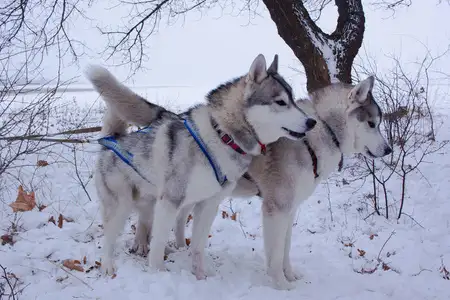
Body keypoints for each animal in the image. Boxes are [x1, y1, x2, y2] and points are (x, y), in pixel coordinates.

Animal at [85, 53, 316, 278]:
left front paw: (200, 276)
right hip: (120, 206)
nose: (311, 122)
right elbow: (158, 245)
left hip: (149, 201)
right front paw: (157, 273)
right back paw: (107, 266)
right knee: (109, 238)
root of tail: (110, 141)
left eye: (293, 100)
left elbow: (197, 245)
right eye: (280, 102)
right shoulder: (170, 201)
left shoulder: (208, 204)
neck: (222, 135)